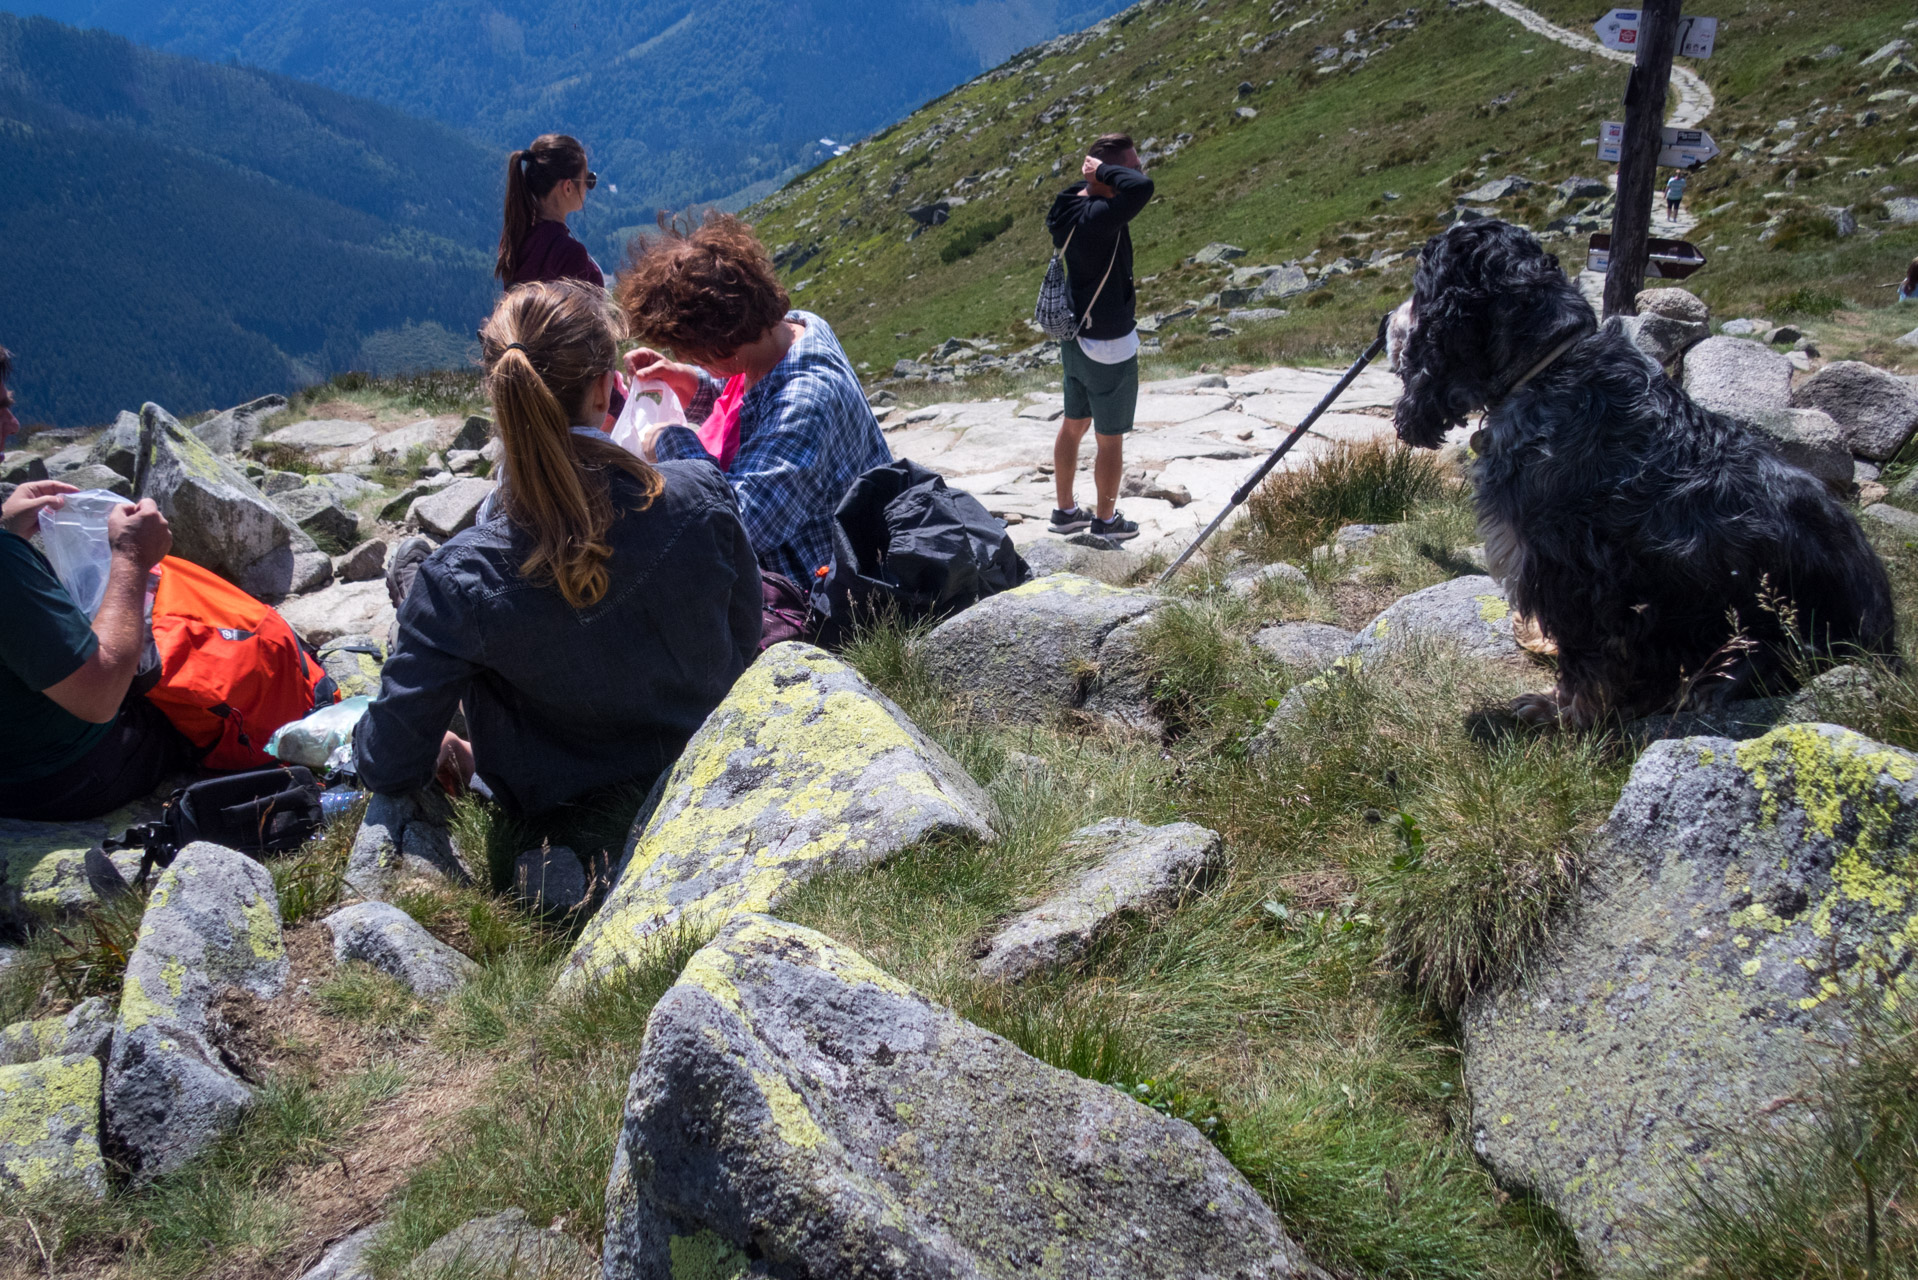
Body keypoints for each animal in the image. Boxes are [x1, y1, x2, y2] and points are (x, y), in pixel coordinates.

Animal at [1388, 214, 1894, 725]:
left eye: (1420, 286)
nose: (1386, 321)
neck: (1549, 366)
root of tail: (1888, 641)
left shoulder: (1573, 576)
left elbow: (1588, 662)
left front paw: (1559, 712)